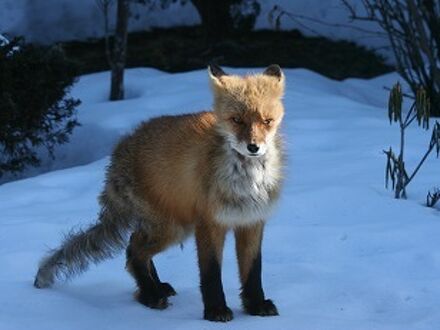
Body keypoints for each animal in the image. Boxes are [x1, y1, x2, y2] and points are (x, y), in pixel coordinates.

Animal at [33, 64, 286, 322]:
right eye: (236, 120)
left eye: (267, 121)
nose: (253, 147)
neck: (246, 180)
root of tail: (119, 150)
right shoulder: (210, 223)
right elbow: (211, 273)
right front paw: (215, 310)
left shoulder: (252, 221)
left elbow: (253, 271)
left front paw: (255, 305)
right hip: (173, 228)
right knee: (133, 250)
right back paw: (150, 295)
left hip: (168, 225)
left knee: (135, 246)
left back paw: (156, 286)